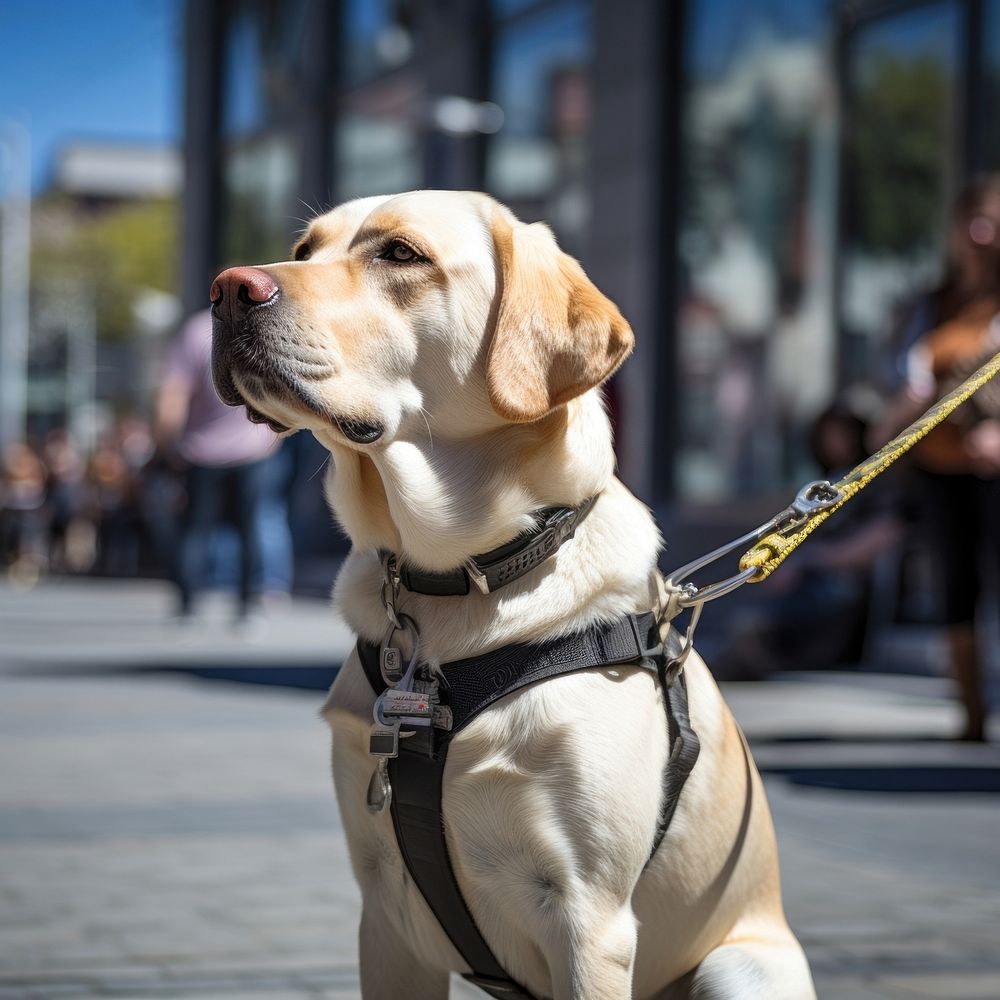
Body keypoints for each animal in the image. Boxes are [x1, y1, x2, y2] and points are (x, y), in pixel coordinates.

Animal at [209, 189, 812, 1000]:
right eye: (304, 250)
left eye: (400, 253)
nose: (227, 289)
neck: (460, 582)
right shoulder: (387, 916)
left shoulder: (590, 920)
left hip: (737, 967)